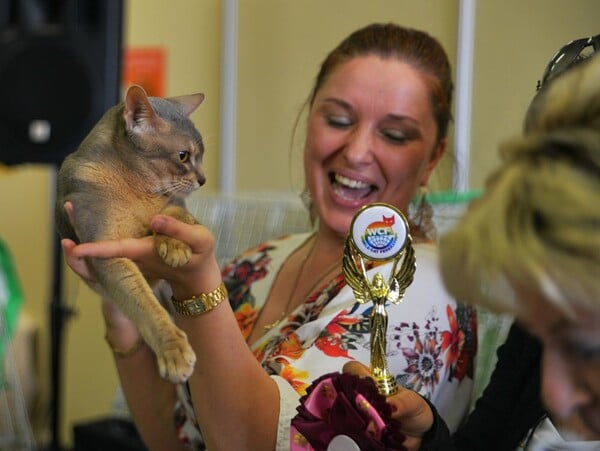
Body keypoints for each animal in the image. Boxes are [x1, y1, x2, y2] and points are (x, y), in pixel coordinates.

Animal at [56, 84, 206, 382]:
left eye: (202, 155)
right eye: (183, 156)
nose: (203, 180)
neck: (135, 189)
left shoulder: (175, 202)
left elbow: (171, 215)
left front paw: (174, 245)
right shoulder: (105, 249)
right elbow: (144, 306)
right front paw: (173, 351)